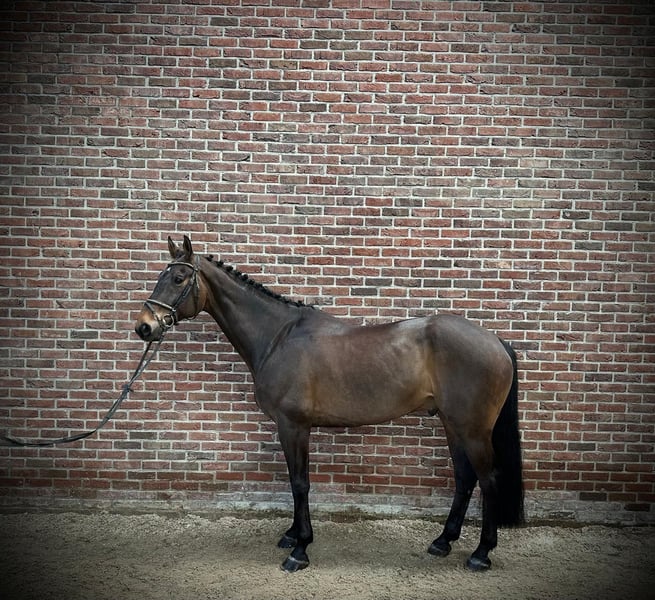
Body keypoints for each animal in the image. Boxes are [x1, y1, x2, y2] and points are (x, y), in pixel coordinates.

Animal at [135, 236, 524, 572]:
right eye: (161, 276)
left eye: (179, 278)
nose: (144, 326)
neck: (278, 338)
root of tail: (496, 341)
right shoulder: (292, 427)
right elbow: (295, 480)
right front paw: (292, 535)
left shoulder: (294, 425)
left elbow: (299, 483)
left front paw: (300, 549)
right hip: (452, 423)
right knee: (465, 478)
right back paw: (443, 541)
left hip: (473, 429)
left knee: (488, 479)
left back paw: (481, 554)